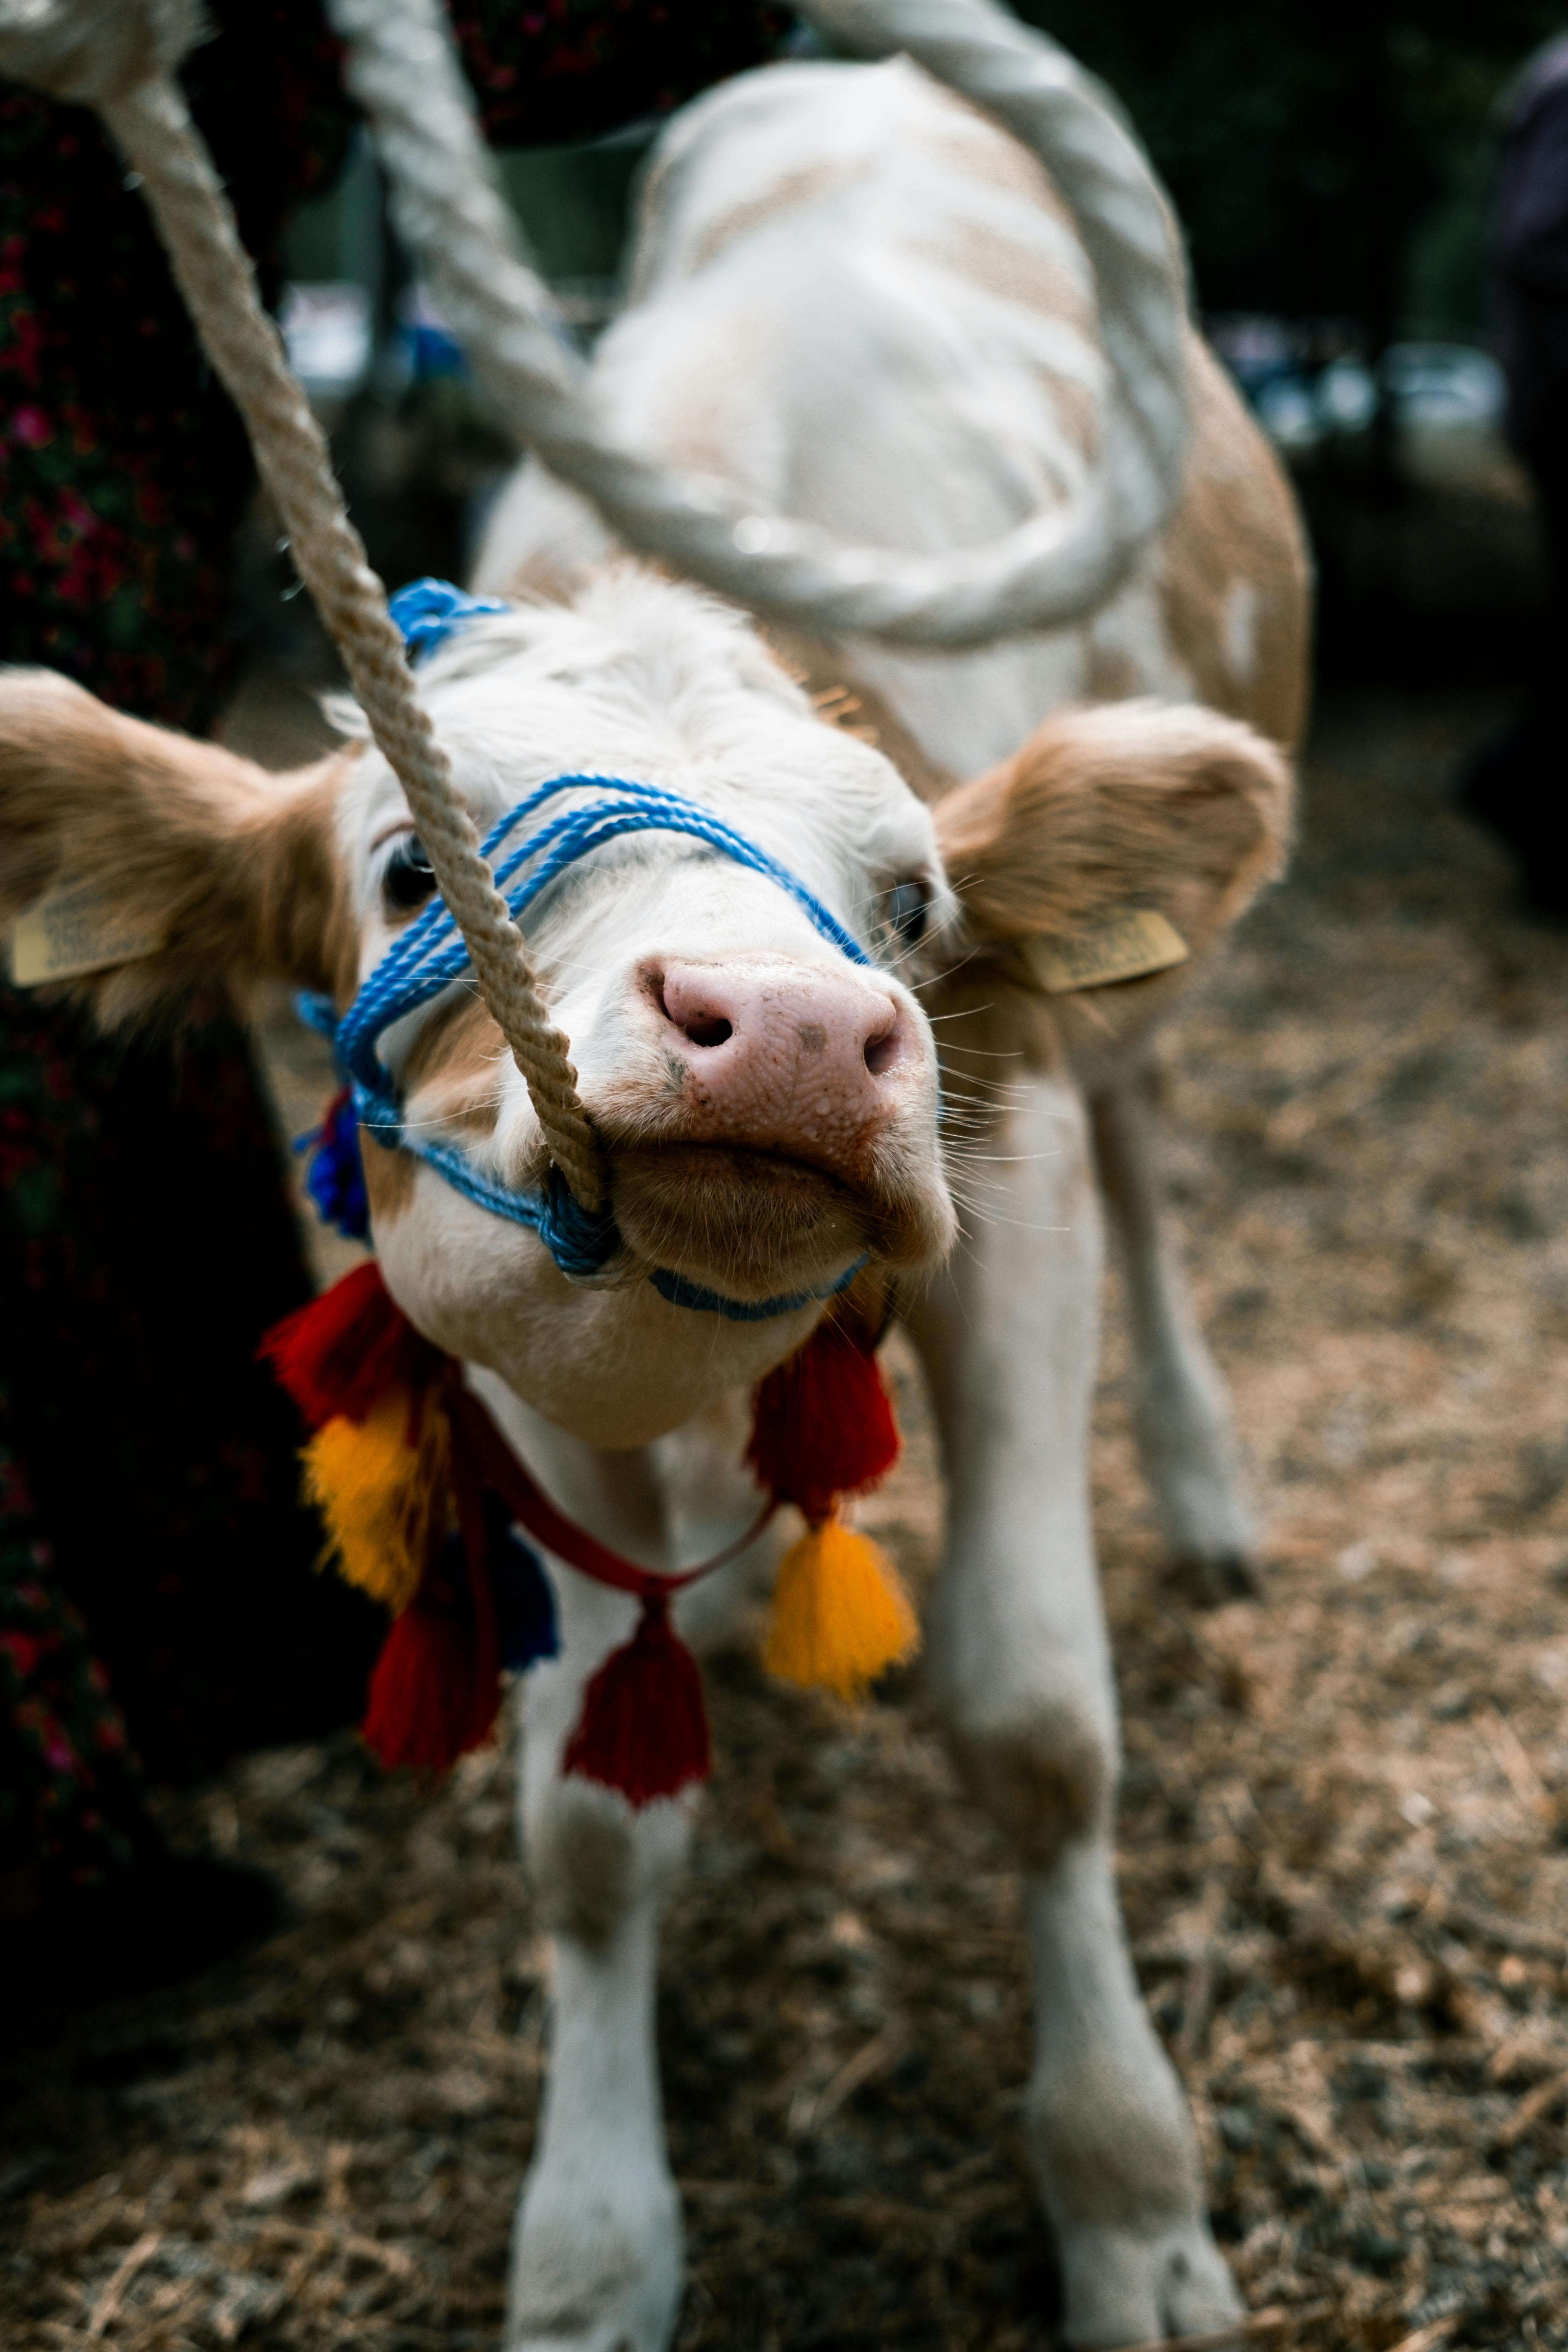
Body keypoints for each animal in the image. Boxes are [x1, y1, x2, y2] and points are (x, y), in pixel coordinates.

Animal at [0, 50, 1306, 2352]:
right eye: (410, 866)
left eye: (913, 901)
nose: (783, 1031)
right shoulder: (499, 1331)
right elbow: (591, 1831)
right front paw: (594, 2243)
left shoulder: (1015, 1197)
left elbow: (1041, 1726)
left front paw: (1130, 2198)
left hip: (1123, 1060)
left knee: (1158, 1174)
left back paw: (1206, 1483)